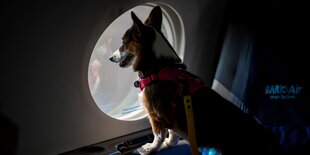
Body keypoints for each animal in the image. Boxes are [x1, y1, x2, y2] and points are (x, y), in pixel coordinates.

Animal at [109, 5, 278, 154]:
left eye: (124, 42)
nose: (110, 58)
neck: (159, 68)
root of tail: (267, 138)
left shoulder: (155, 115)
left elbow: (158, 135)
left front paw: (151, 148)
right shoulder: (170, 117)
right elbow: (172, 132)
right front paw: (170, 143)